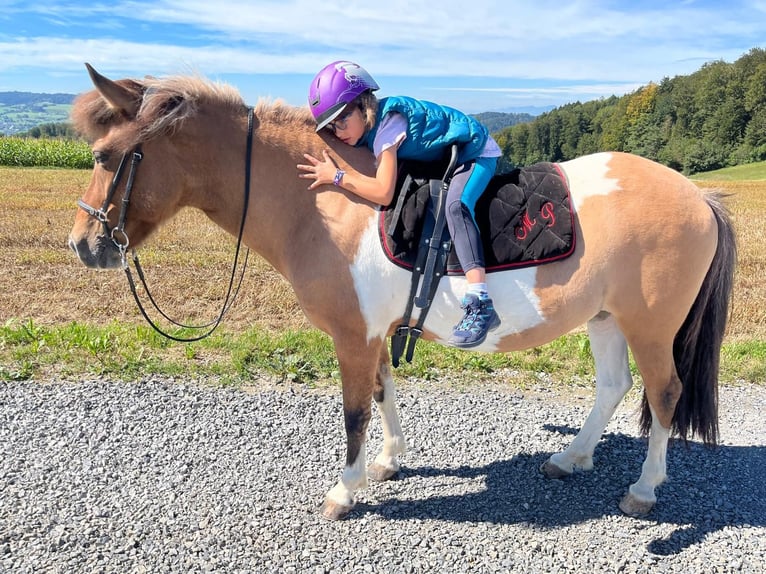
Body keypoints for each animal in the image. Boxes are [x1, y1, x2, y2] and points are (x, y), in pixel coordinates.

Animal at [68, 64, 736, 521]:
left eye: (105, 155)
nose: (83, 245)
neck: (326, 207)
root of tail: (697, 195)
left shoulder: (352, 336)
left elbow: (354, 411)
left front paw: (344, 491)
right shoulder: (373, 332)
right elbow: (384, 393)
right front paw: (388, 464)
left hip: (650, 325)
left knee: (664, 393)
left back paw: (643, 490)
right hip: (604, 317)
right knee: (614, 386)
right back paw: (570, 458)